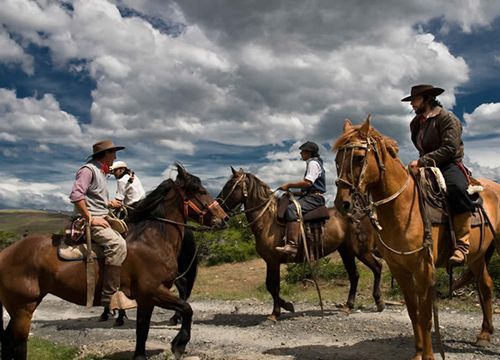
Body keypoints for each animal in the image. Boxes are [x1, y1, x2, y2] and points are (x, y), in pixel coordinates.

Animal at [0, 165, 227, 360]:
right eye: (200, 190)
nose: (224, 218)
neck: (152, 239)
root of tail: (6, 253)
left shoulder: (147, 299)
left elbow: (143, 331)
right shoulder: (153, 291)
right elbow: (187, 309)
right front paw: (179, 344)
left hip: (22, 307)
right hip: (23, 308)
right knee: (18, 345)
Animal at [217, 167, 384, 320]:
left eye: (229, 185)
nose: (218, 207)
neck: (267, 220)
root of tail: (363, 212)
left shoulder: (273, 261)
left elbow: (273, 286)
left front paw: (275, 313)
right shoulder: (270, 261)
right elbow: (270, 286)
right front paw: (286, 306)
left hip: (360, 251)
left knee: (376, 267)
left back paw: (379, 302)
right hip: (346, 251)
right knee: (354, 275)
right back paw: (348, 306)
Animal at [332, 116, 500, 358]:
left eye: (359, 158)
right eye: (337, 160)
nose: (342, 204)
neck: (401, 208)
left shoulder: (424, 270)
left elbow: (426, 316)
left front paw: (428, 355)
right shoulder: (399, 269)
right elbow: (413, 313)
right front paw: (418, 352)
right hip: (476, 256)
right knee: (485, 285)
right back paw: (484, 335)